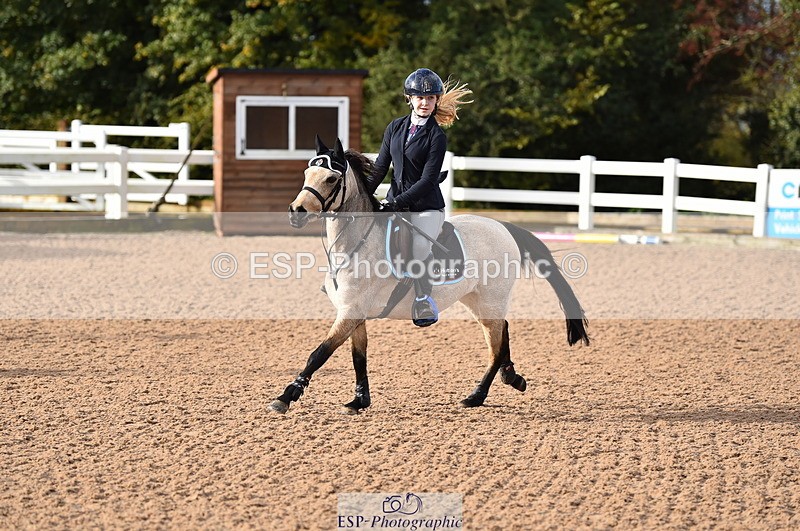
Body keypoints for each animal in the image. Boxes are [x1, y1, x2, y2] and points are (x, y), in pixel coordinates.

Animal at [271, 136, 589, 414]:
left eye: (331, 179)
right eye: (307, 172)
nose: (296, 211)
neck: (357, 243)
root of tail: (503, 226)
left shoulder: (350, 312)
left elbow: (319, 353)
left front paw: (286, 396)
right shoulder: (353, 313)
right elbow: (358, 357)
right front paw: (359, 401)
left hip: (491, 298)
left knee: (496, 346)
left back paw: (476, 396)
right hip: (476, 299)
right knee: (503, 331)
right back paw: (512, 378)